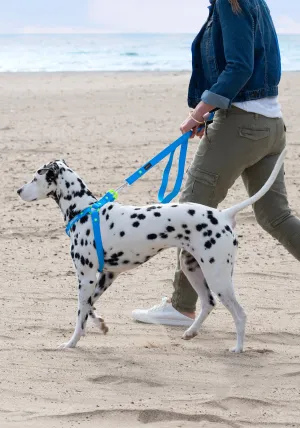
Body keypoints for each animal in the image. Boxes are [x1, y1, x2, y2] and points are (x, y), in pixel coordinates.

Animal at [18, 149, 286, 352]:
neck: (84, 210)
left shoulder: (85, 277)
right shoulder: (106, 276)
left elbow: (80, 310)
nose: (18, 191)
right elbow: (89, 306)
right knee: (208, 303)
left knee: (240, 314)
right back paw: (190, 332)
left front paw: (72, 342)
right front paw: (100, 325)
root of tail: (223, 214)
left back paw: (238, 348)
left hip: (217, 277)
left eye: (34, 178)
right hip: (193, 268)